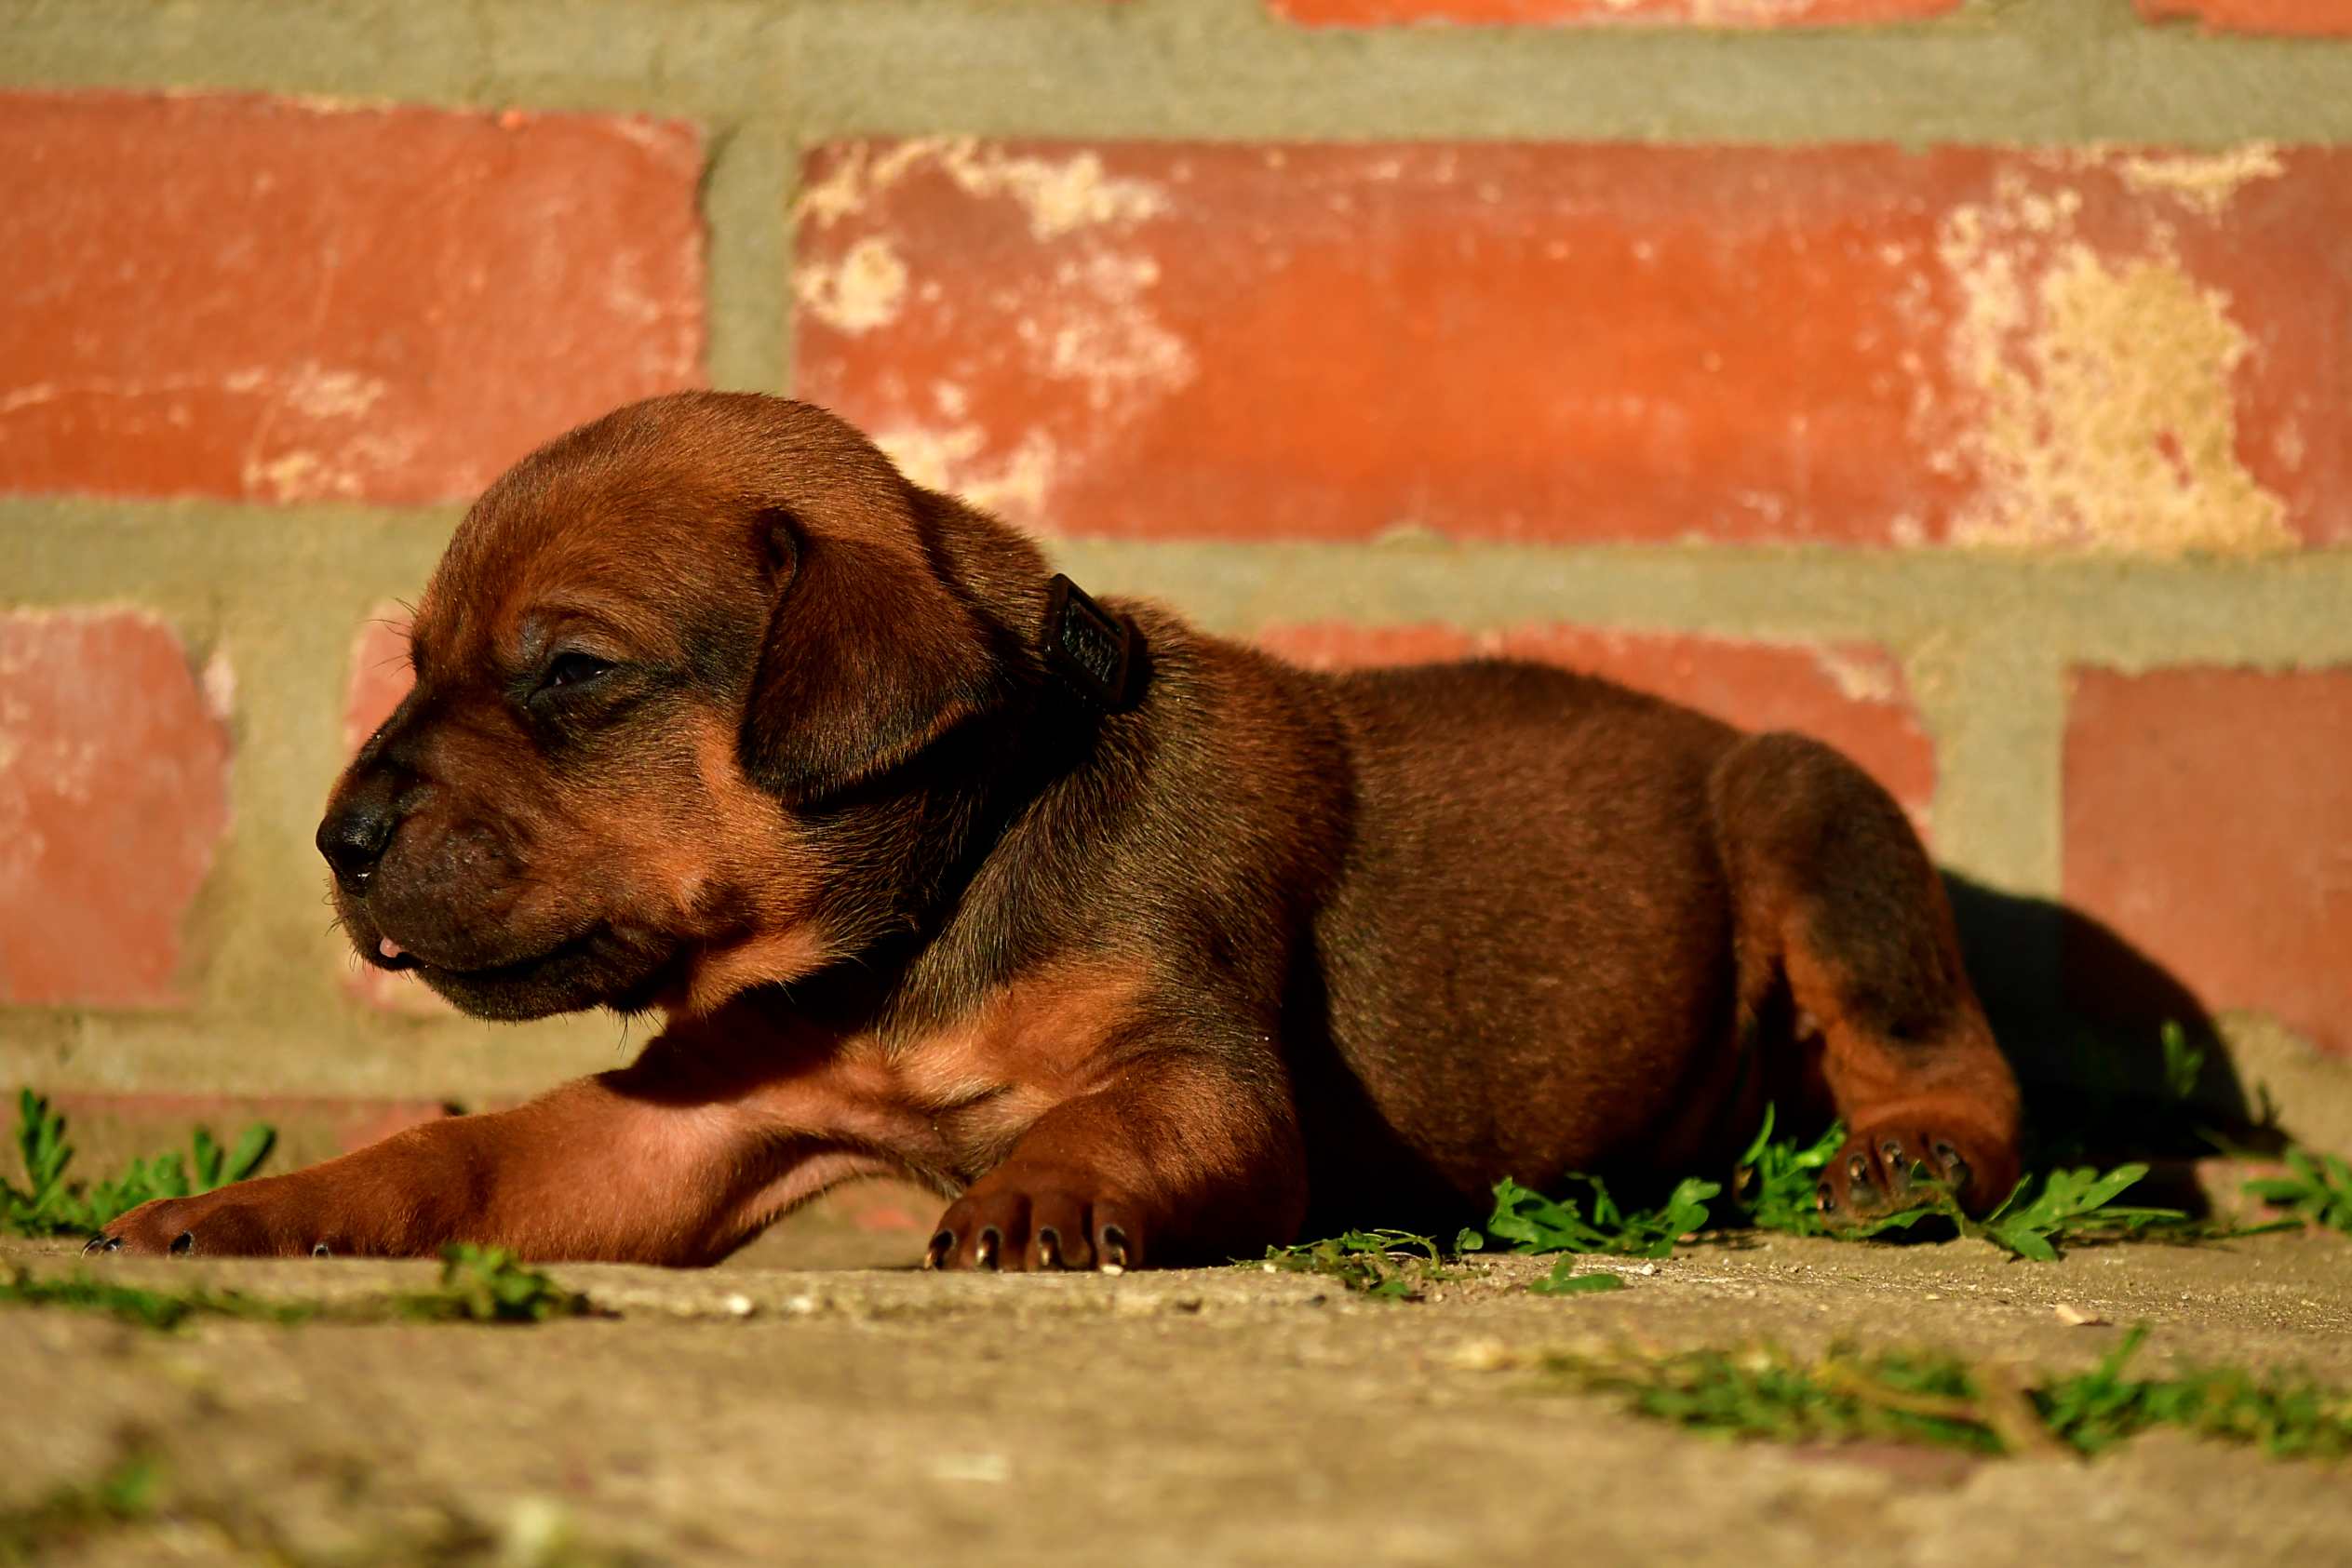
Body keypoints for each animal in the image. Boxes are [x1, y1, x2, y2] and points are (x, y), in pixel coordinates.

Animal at [96, 391, 2020, 1269]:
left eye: (570, 674)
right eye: (417, 662)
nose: (337, 836)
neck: (918, 923)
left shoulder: (1198, 1069)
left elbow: (1129, 1119)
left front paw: (1045, 1190)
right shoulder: (682, 1125)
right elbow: (464, 1159)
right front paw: (258, 1209)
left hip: (1808, 804)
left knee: (1946, 1056)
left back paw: (1908, 1162)